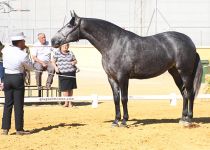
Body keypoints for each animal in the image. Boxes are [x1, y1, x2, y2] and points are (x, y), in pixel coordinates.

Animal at [50, 12, 202, 126]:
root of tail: (190, 41)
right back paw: (182, 118)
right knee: (184, 93)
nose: (53, 40)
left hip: (185, 73)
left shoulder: (123, 77)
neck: (113, 43)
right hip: (175, 73)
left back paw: (189, 118)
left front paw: (124, 121)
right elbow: (116, 98)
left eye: (69, 25)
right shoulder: (111, 78)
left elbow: (124, 98)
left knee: (190, 93)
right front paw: (116, 120)